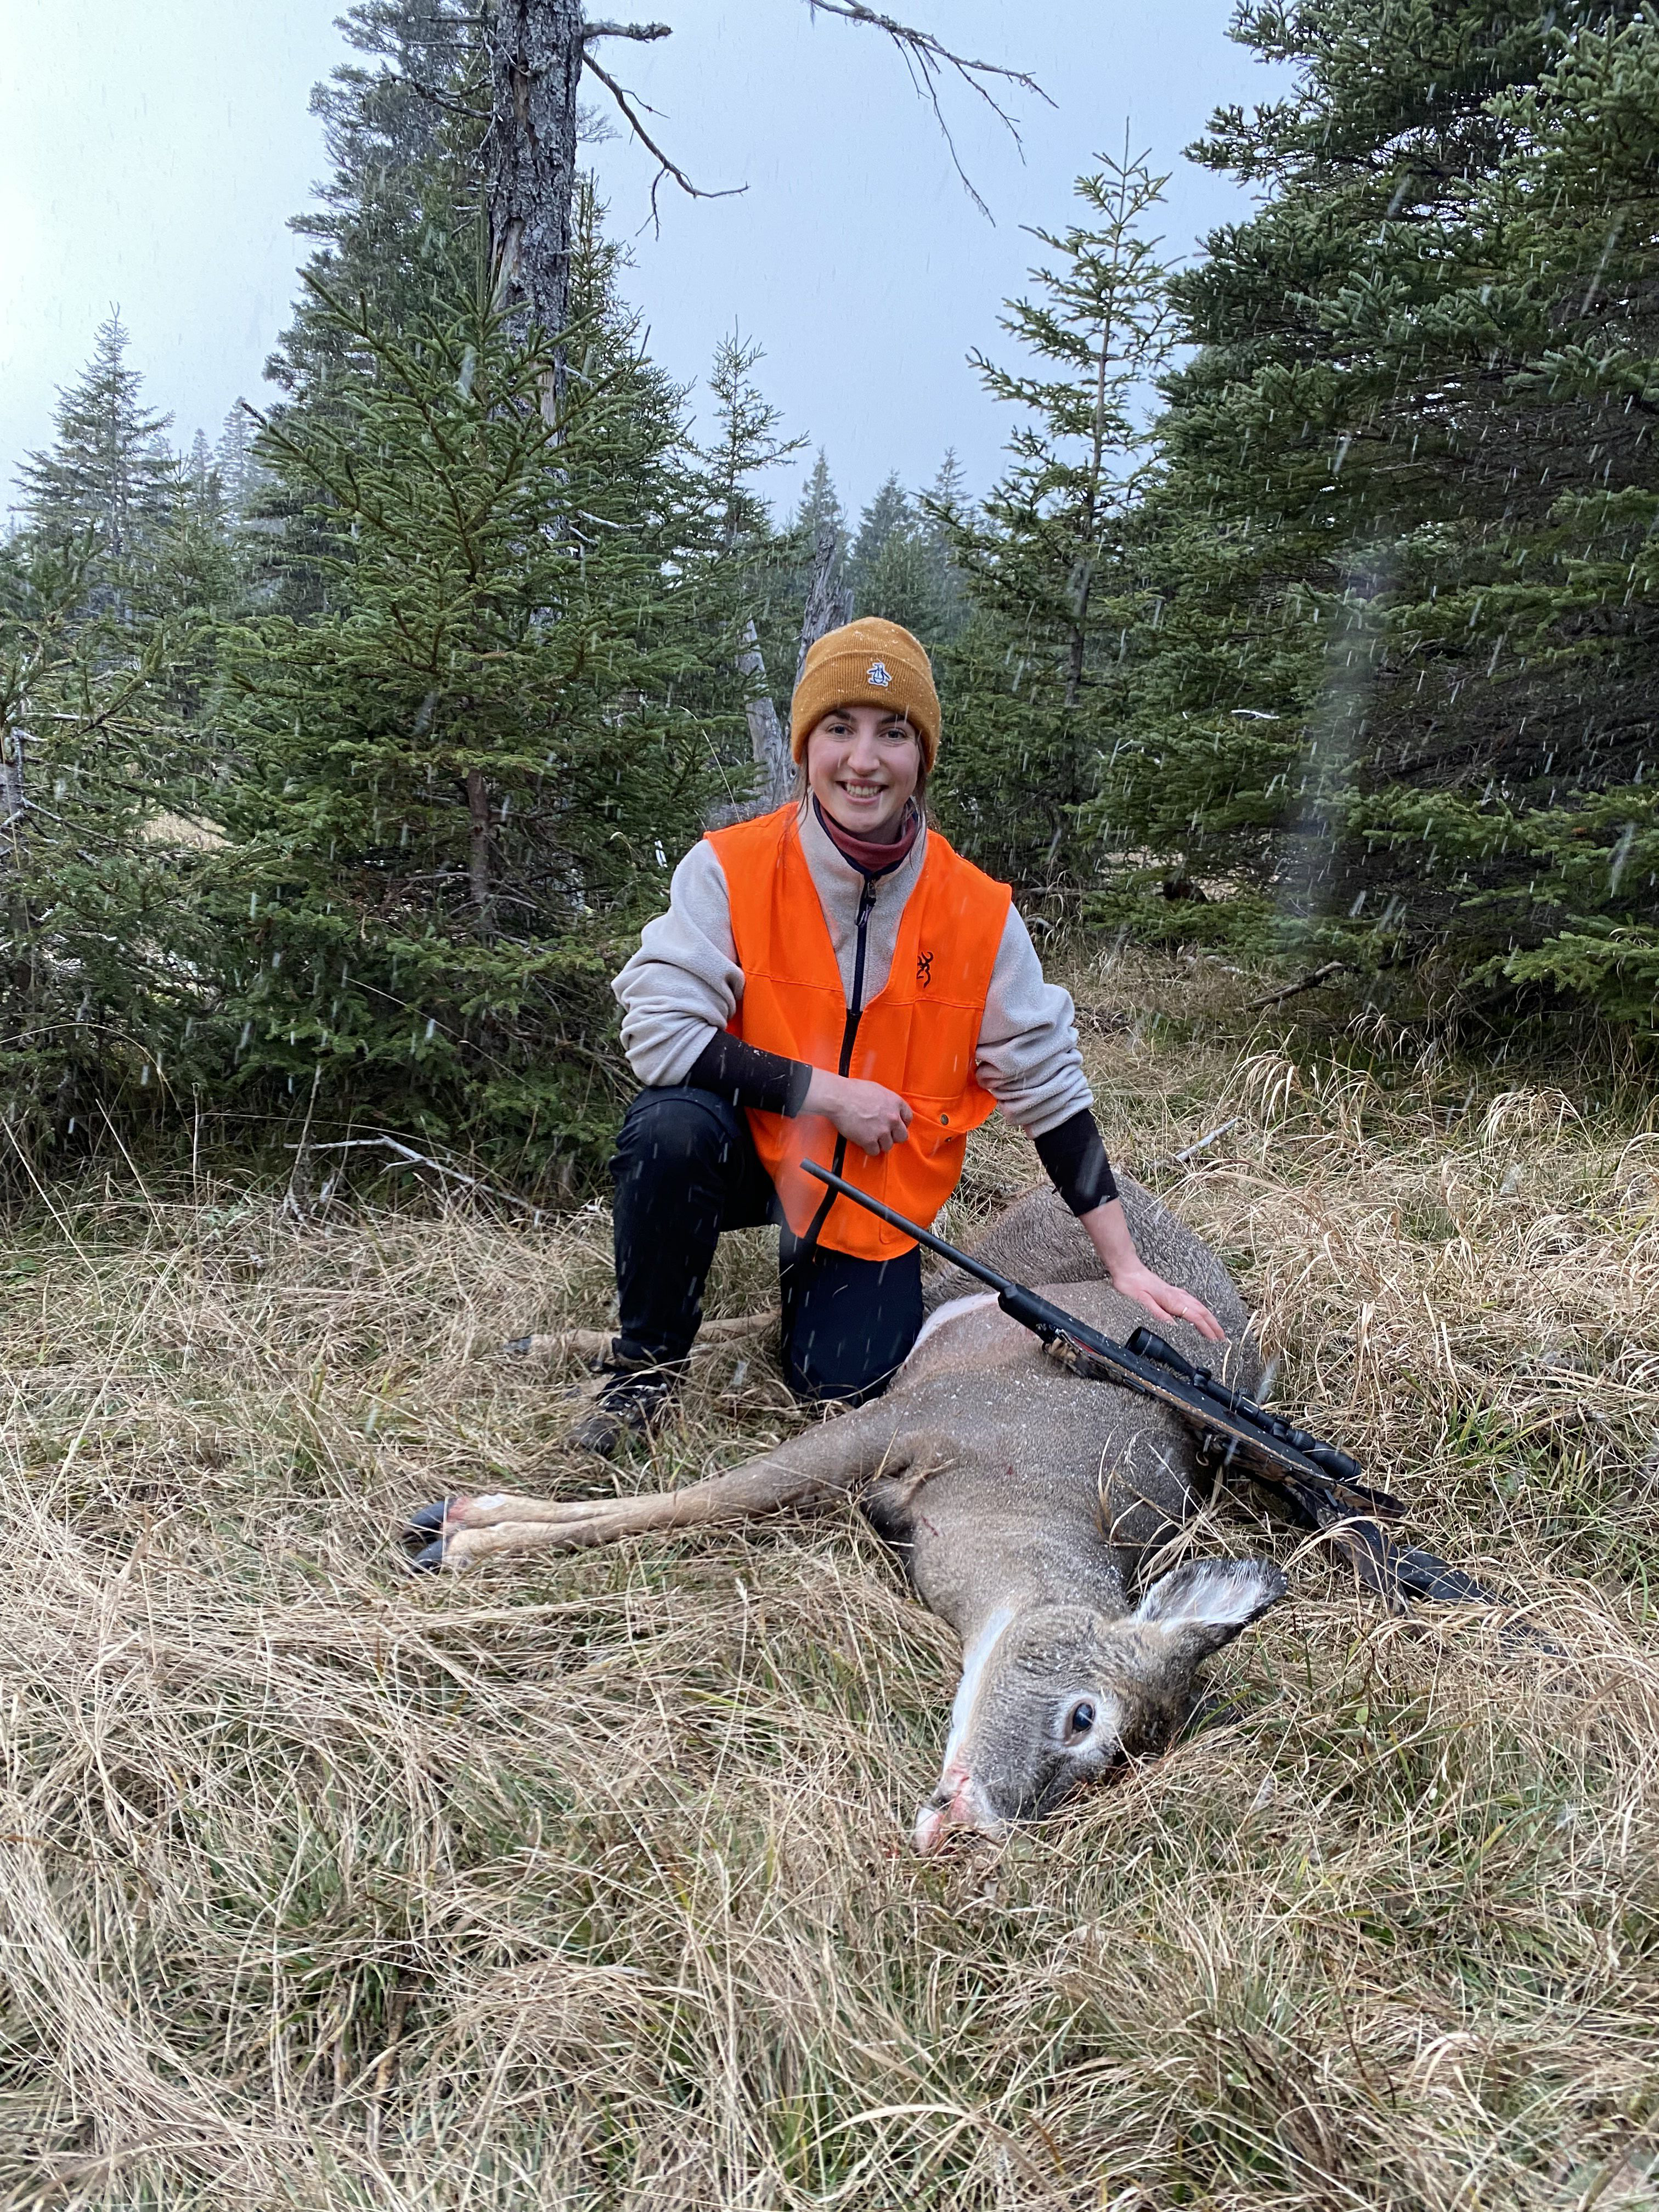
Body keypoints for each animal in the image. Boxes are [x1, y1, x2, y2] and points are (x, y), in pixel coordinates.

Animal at [402, 1177, 1283, 1849]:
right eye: (1084, 1717)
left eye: (1115, 1770)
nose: (979, 1827)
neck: (1017, 1503)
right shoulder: (930, 1413)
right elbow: (714, 1495)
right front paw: (467, 1531)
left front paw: (466, 1530)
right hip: (975, 1271)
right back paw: (551, 1353)